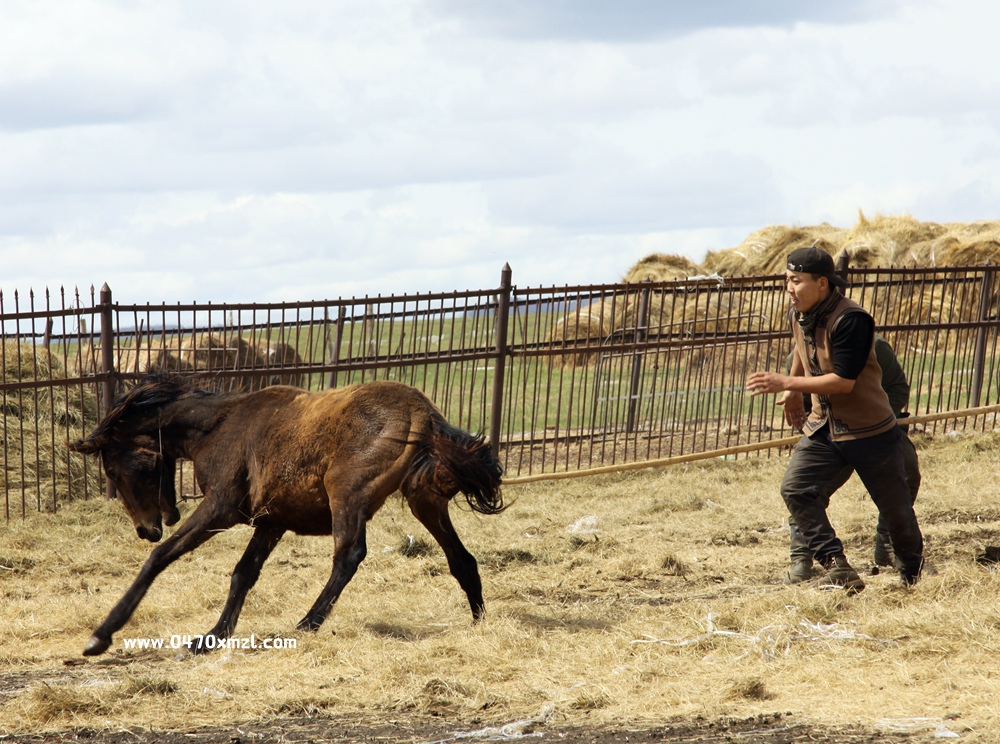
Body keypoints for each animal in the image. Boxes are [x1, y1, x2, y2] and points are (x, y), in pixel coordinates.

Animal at [69, 374, 504, 656]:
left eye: (112, 471)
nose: (147, 529)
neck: (218, 428)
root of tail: (423, 413)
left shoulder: (220, 508)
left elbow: (162, 558)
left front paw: (101, 635)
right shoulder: (271, 521)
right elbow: (243, 574)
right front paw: (212, 637)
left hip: (347, 494)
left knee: (349, 556)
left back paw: (308, 622)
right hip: (424, 499)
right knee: (461, 559)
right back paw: (479, 621)